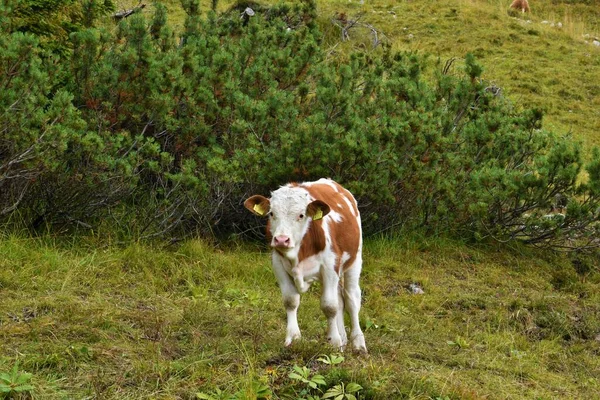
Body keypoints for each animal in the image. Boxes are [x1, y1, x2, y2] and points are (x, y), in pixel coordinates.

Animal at [243, 180, 366, 352]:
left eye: (301, 215)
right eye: (271, 213)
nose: (281, 240)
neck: (297, 255)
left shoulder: (330, 266)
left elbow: (329, 306)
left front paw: (333, 341)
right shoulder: (278, 265)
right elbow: (291, 301)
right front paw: (293, 338)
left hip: (355, 261)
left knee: (352, 300)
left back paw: (358, 343)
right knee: (341, 300)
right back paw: (343, 338)